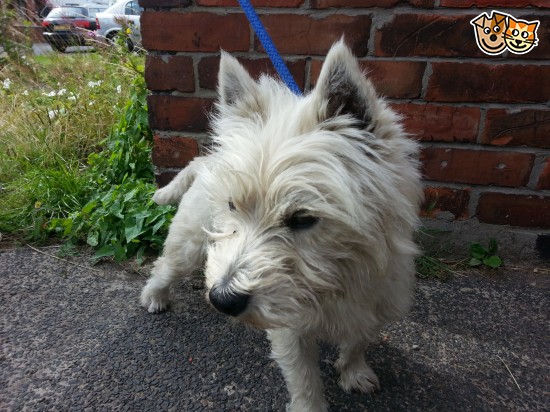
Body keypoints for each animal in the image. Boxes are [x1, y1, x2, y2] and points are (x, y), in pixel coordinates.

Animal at [141, 41, 422, 412]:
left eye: (302, 218)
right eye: (232, 206)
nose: (223, 300)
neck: (338, 277)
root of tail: (207, 159)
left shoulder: (377, 300)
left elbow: (358, 341)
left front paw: (355, 373)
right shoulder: (291, 328)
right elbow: (304, 378)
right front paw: (311, 404)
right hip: (190, 242)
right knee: (166, 265)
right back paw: (154, 297)